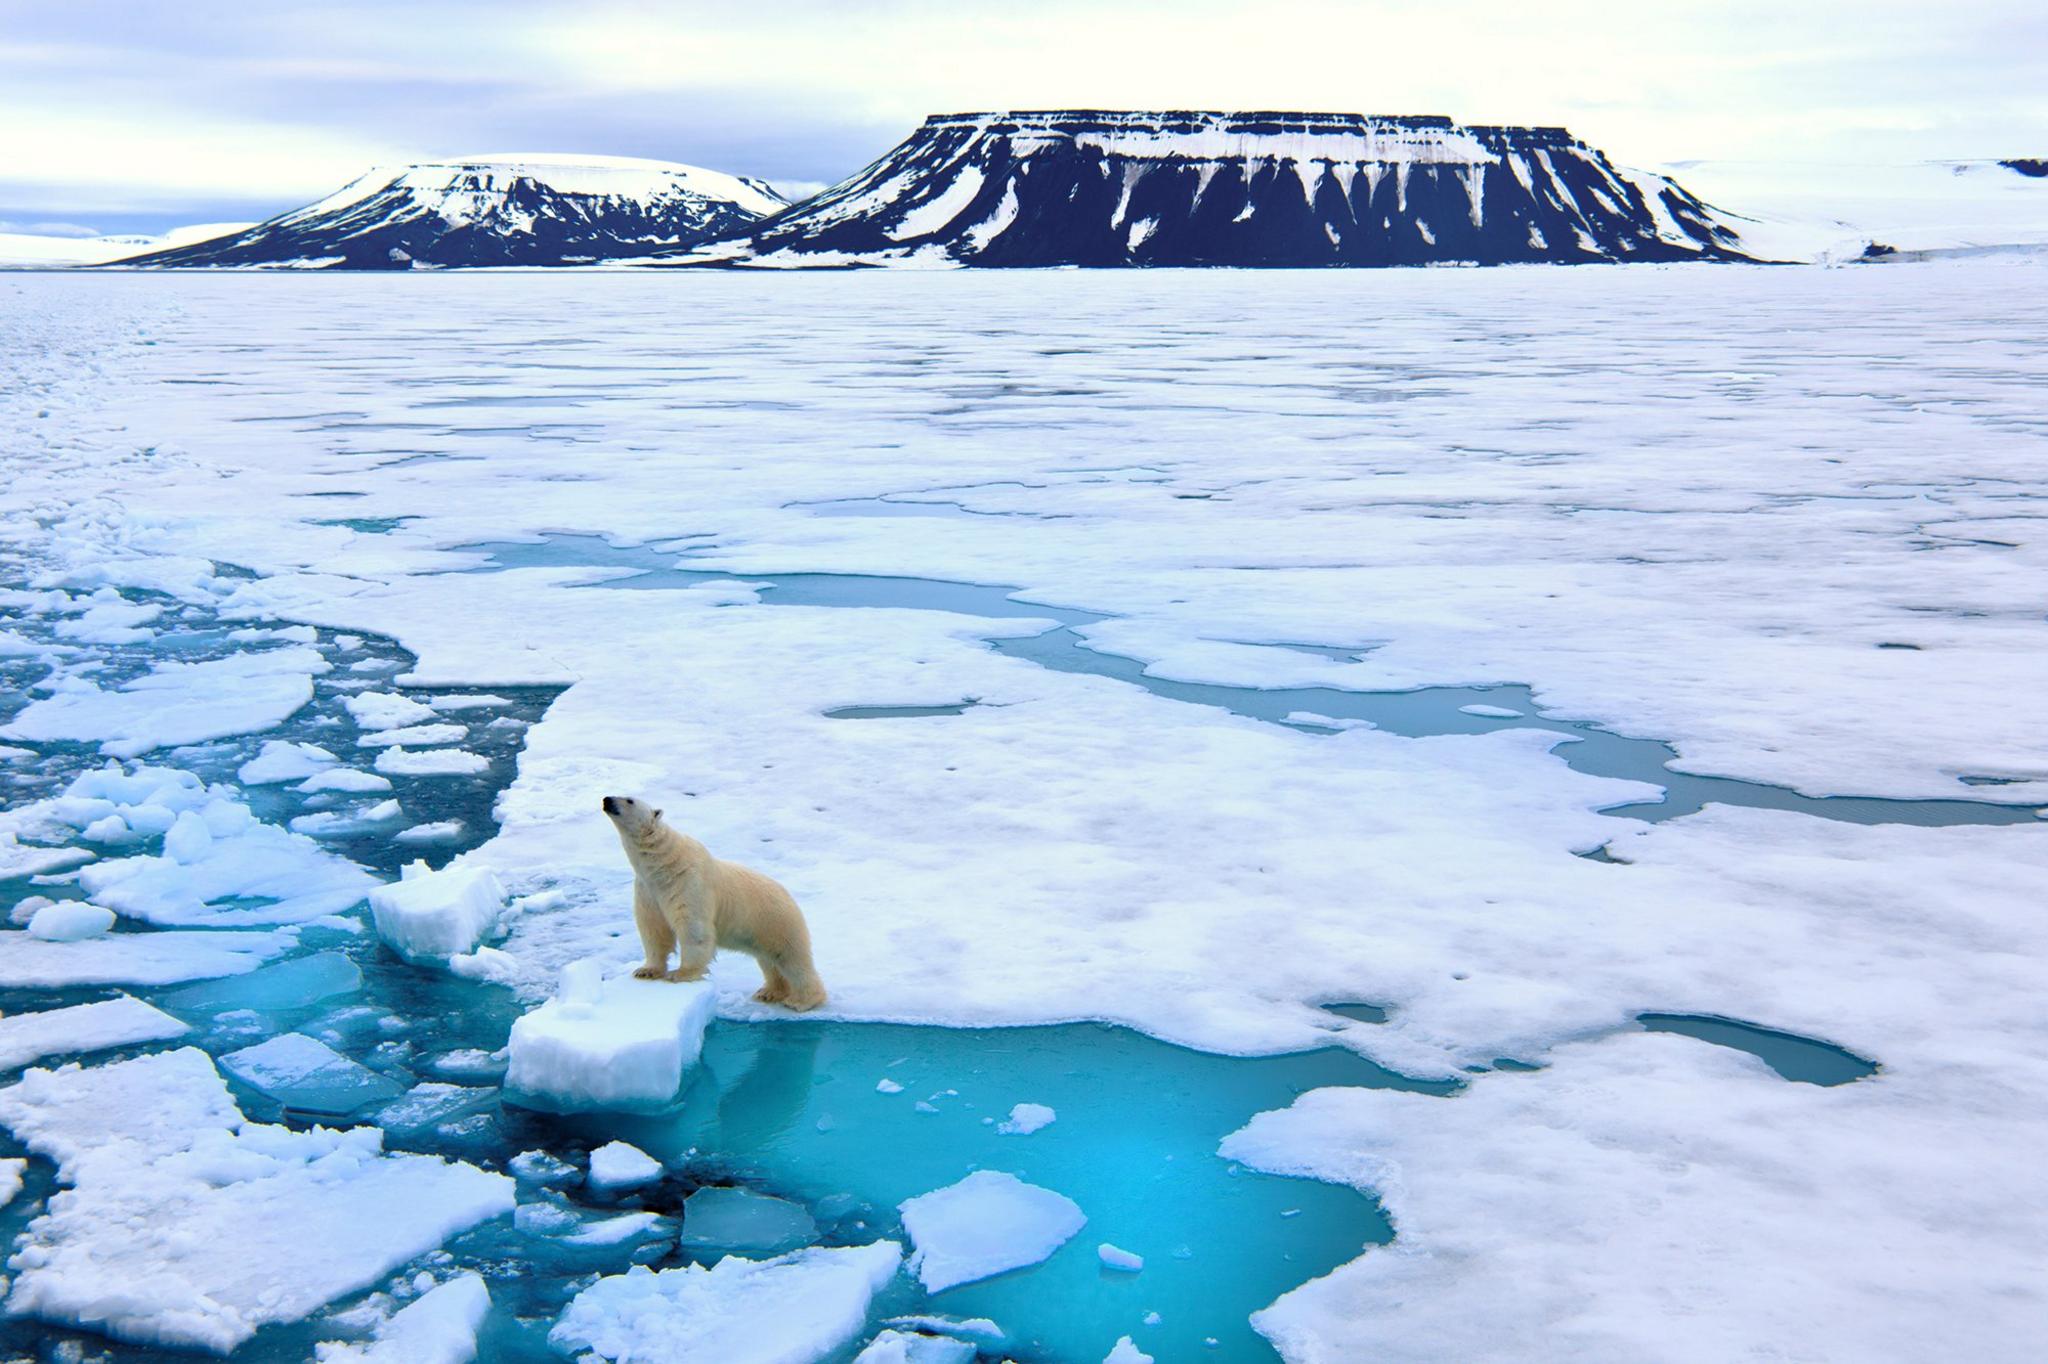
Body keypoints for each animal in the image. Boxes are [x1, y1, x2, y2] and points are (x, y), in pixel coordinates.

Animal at [602, 790, 827, 1003]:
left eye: (629, 800)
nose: (607, 799)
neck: (664, 864)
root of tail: (789, 896)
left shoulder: (689, 883)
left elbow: (694, 928)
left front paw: (680, 973)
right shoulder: (648, 890)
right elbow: (654, 929)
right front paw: (646, 970)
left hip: (776, 922)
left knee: (790, 959)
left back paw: (802, 1000)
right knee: (769, 961)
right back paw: (769, 992)